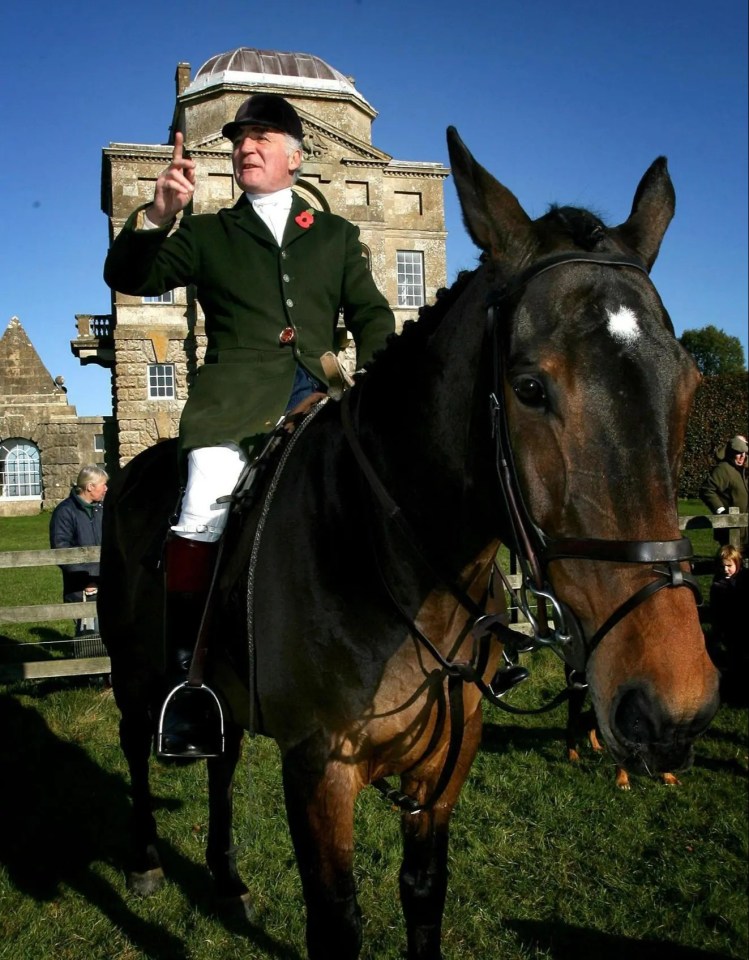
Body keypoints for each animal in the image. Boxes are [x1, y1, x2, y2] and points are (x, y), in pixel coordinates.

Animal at [96, 129, 716, 960]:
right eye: (528, 387)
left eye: (687, 383)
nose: (670, 707)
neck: (390, 557)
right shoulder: (319, 773)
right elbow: (336, 922)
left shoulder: (443, 772)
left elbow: (424, 899)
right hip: (135, 669)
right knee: (136, 743)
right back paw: (143, 862)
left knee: (221, 762)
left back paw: (225, 879)